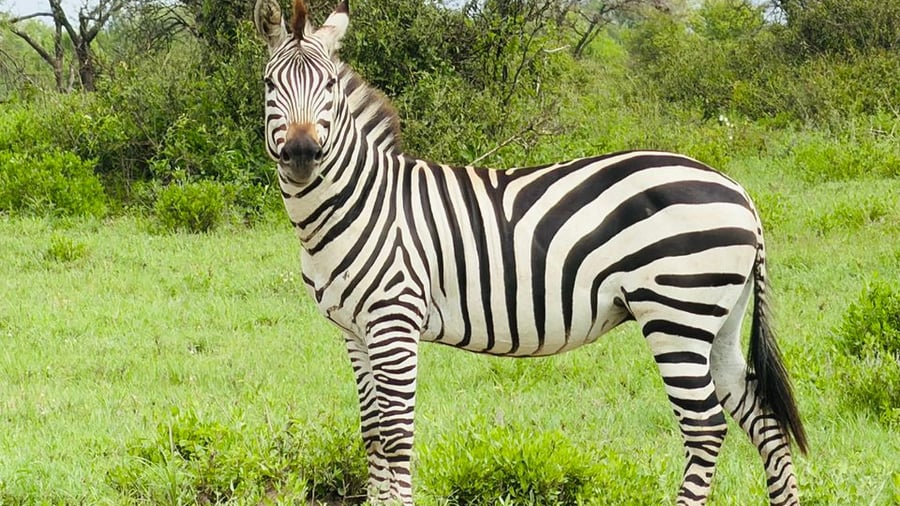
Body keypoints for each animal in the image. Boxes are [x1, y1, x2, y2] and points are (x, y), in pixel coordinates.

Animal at [252, 0, 808, 504]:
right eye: (269, 85)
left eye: (328, 87)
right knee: (763, 419)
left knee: (706, 427)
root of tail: (738, 191)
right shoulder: (355, 332)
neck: (360, 203)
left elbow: (396, 436)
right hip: (719, 321)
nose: (301, 154)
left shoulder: (395, 321)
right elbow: (372, 437)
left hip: (676, 313)